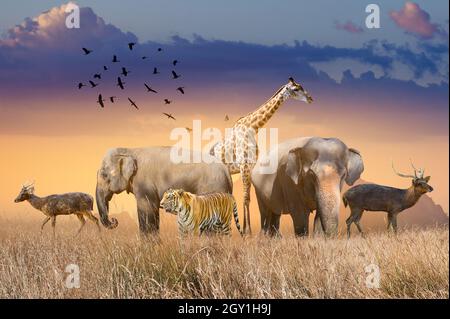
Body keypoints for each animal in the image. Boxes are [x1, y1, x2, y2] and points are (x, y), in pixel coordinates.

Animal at [97, 148, 234, 235]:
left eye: (104, 175)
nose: (114, 220)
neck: (129, 150)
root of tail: (226, 171)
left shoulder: (144, 184)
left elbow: (147, 210)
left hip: (213, 189)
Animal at [210, 76, 312, 234]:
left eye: (302, 86)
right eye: (296, 89)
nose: (310, 98)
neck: (252, 128)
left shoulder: (250, 167)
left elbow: (248, 197)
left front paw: (245, 230)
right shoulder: (244, 166)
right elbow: (245, 197)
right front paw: (247, 232)